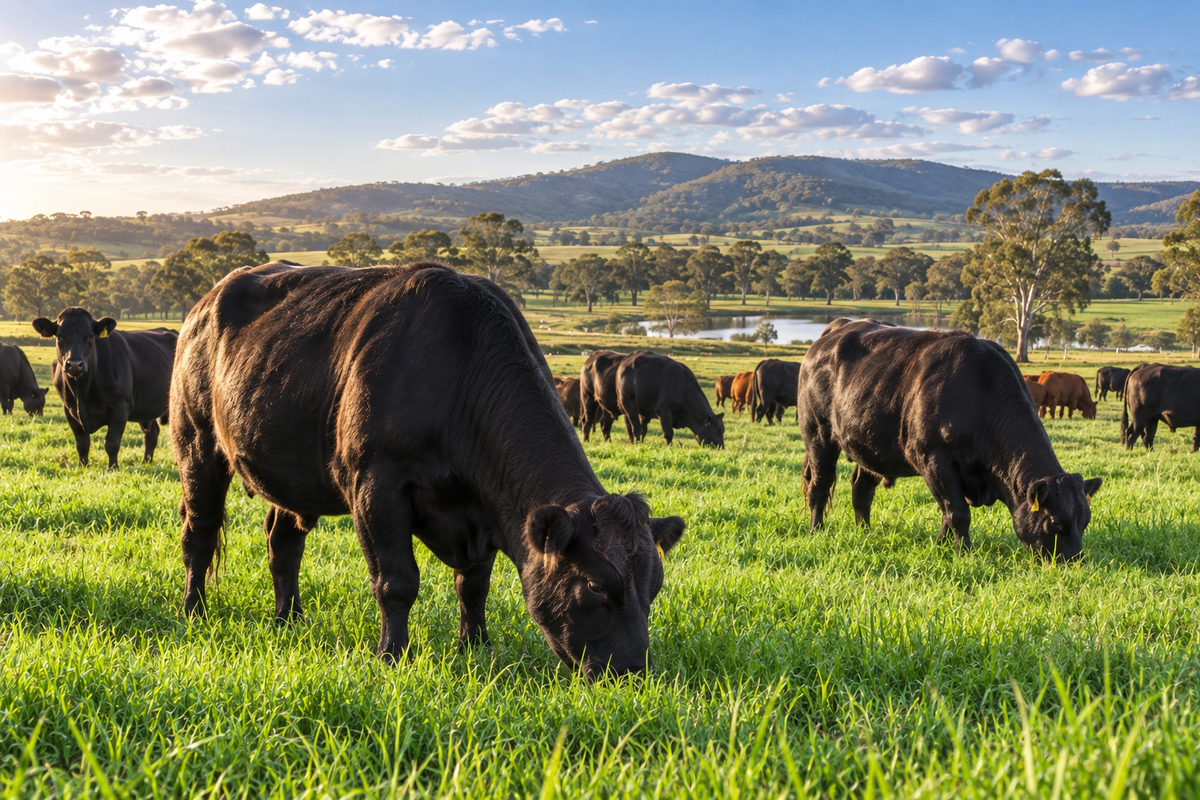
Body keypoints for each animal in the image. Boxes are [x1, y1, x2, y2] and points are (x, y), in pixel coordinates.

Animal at [32, 309, 177, 468]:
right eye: (59, 336)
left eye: (90, 336)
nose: (75, 364)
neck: (83, 393)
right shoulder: (69, 409)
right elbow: (82, 443)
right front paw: (82, 466)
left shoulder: (120, 408)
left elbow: (111, 442)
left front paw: (112, 467)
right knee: (151, 434)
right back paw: (145, 463)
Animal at [170, 262, 686, 678]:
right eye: (596, 585)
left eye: (655, 585)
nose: (632, 672)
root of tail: (204, 303)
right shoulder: (376, 485)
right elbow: (397, 582)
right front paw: (391, 655)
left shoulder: (486, 508)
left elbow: (474, 586)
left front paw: (474, 647)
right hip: (197, 444)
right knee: (200, 533)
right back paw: (194, 611)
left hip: (289, 475)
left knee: (283, 541)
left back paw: (289, 619)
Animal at [797, 320, 1101, 562]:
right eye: (1055, 521)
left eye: (1085, 521)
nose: (1073, 562)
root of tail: (837, 328)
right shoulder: (933, 458)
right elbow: (957, 512)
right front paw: (963, 553)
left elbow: (947, 511)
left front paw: (943, 546)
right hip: (817, 435)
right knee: (819, 485)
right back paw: (816, 530)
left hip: (871, 445)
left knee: (861, 488)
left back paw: (866, 532)